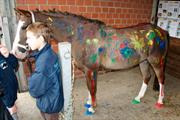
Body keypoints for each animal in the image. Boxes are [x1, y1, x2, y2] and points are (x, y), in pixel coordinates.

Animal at [11, 8, 169, 114]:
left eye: (24, 27)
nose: (16, 53)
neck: (79, 34)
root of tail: (161, 31)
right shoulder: (91, 70)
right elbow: (91, 87)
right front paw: (89, 103)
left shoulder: (90, 68)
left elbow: (91, 87)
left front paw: (92, 108)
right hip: (143, 61)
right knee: (147, 77)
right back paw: (138, 97)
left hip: (156, 61)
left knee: (161, 79)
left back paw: (160, 101)